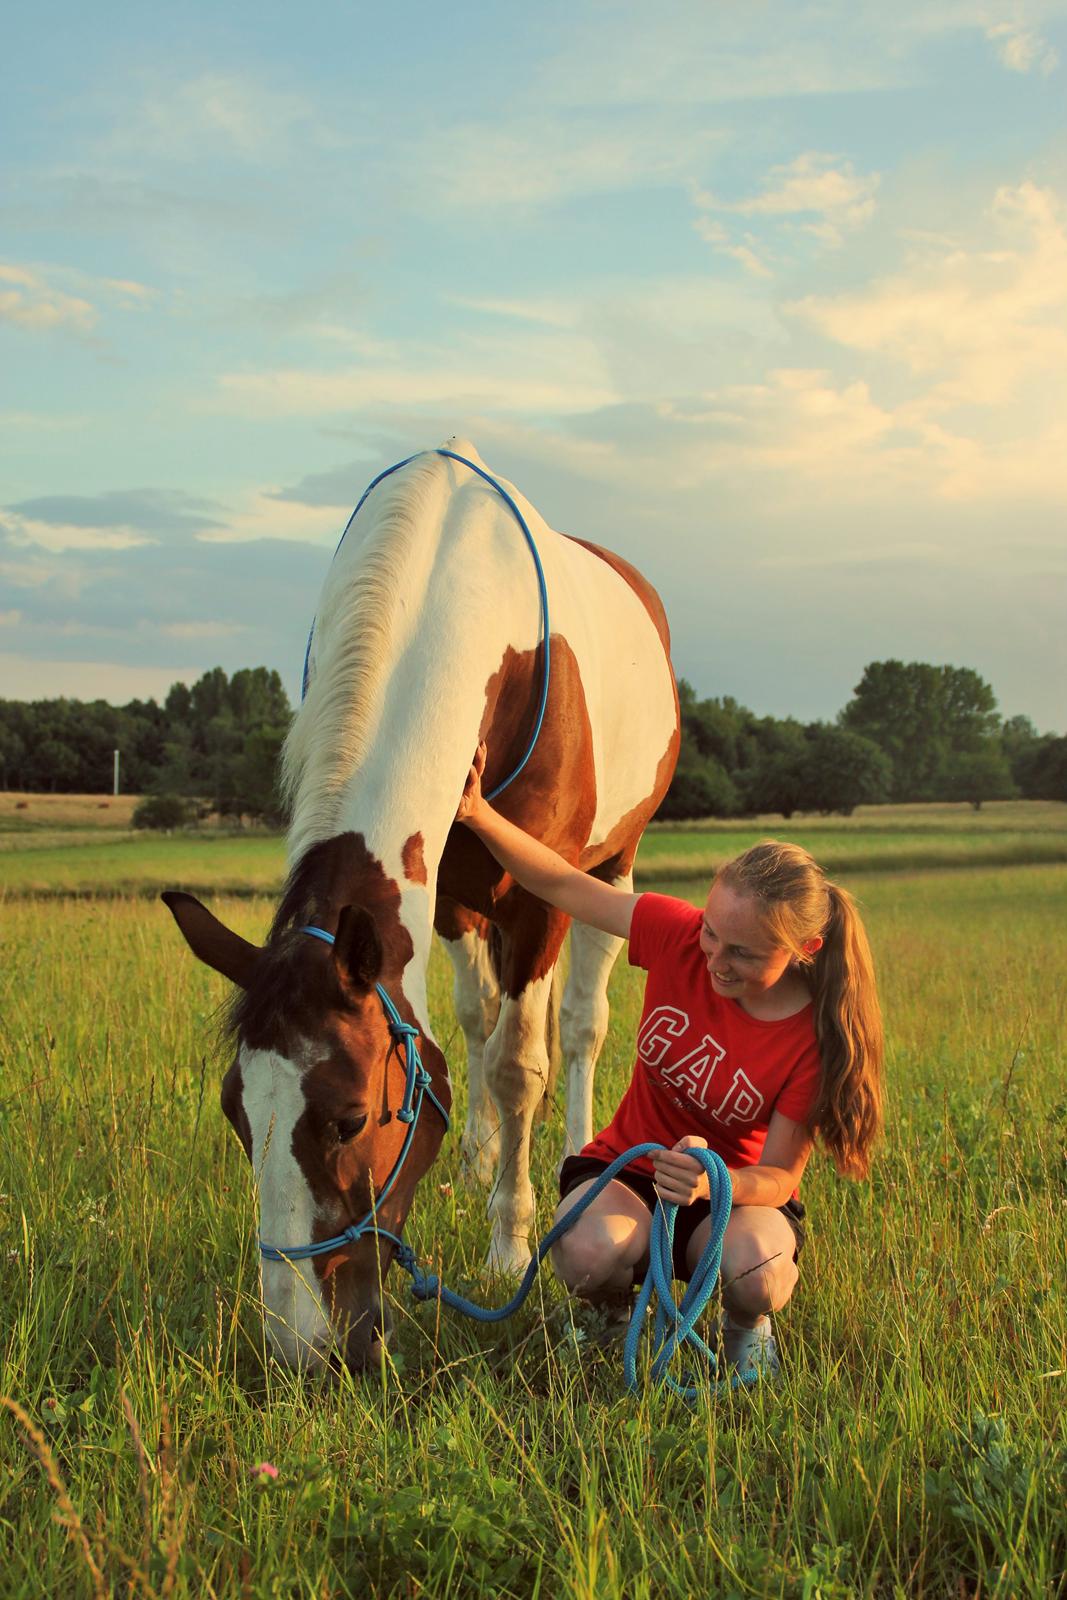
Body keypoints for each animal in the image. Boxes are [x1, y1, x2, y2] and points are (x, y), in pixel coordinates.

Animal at [164, 444, 684, 1369]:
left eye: (349, 1119)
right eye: (235, 1110)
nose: (299, 1348)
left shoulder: (542, 896)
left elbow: (521, 1066)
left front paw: (509, 1245)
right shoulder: (440, 901)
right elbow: (474, 1032)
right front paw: (480, 1161)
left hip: (610, 869)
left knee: (579, 1027)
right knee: (482, 1015)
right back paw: (481, 1154)